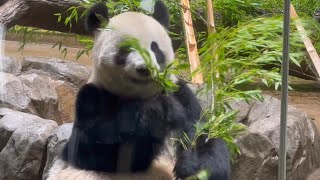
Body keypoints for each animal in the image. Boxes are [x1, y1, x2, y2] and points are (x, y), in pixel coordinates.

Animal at [47, 0, 230, 179]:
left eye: (154, 48)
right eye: (127, 49)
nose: (145, 68)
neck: (141, 95)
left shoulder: (180, 93)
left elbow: (202, 135)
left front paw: (193, 166)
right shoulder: (93, 96)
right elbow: (97, 151)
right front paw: (155, 112)